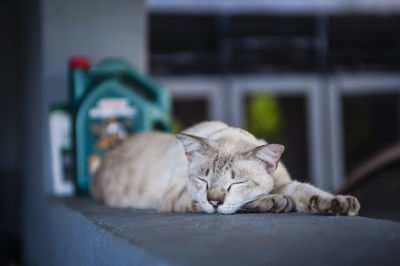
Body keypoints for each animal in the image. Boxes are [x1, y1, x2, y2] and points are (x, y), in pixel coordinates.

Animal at [92, 121, 360, 215]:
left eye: (236, 183)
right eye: (203, 181)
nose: (214, 201)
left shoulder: (285, 183)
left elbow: (309, 192)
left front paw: (339, 204)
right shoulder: (179, 196)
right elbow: (249, 203)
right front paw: (275, 202)